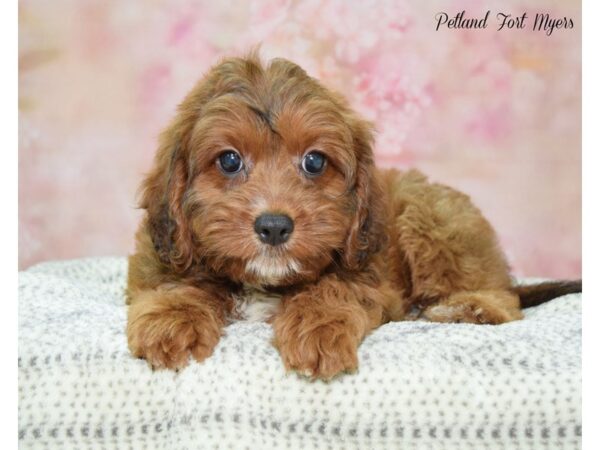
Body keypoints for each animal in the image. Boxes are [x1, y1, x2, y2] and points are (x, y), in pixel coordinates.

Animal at [126, 53, 580, 380]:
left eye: (314, 161)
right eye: (229, 161)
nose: (274, 226)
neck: (265, 283)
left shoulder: (370, 273)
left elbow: (334, 289)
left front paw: (317, 327)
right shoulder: (160, 253)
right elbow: (176, 282)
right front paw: (173, 319)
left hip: (431, 217)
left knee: (502, 298)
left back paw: (468, 307)